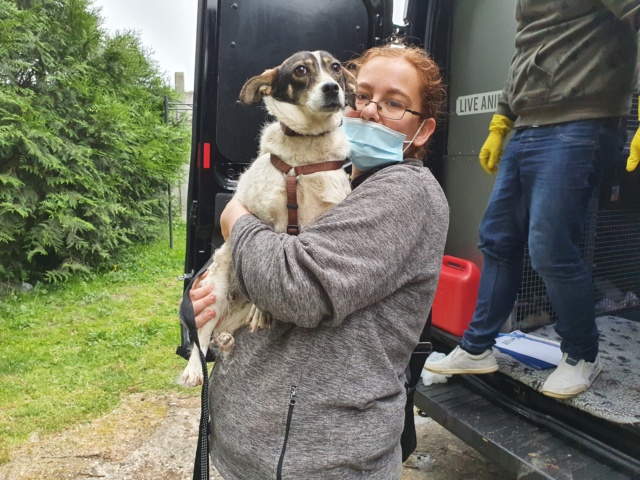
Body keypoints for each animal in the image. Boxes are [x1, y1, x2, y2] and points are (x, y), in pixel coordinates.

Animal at [180, 51, 358, 386]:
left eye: (336, 68)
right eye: (301, 70)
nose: (331, 88)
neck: (305, 152)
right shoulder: (265, 221)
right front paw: (263, 312)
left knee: (222, 332)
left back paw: (227, 339)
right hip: (216, 289)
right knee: (203, 335)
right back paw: (194, 369)